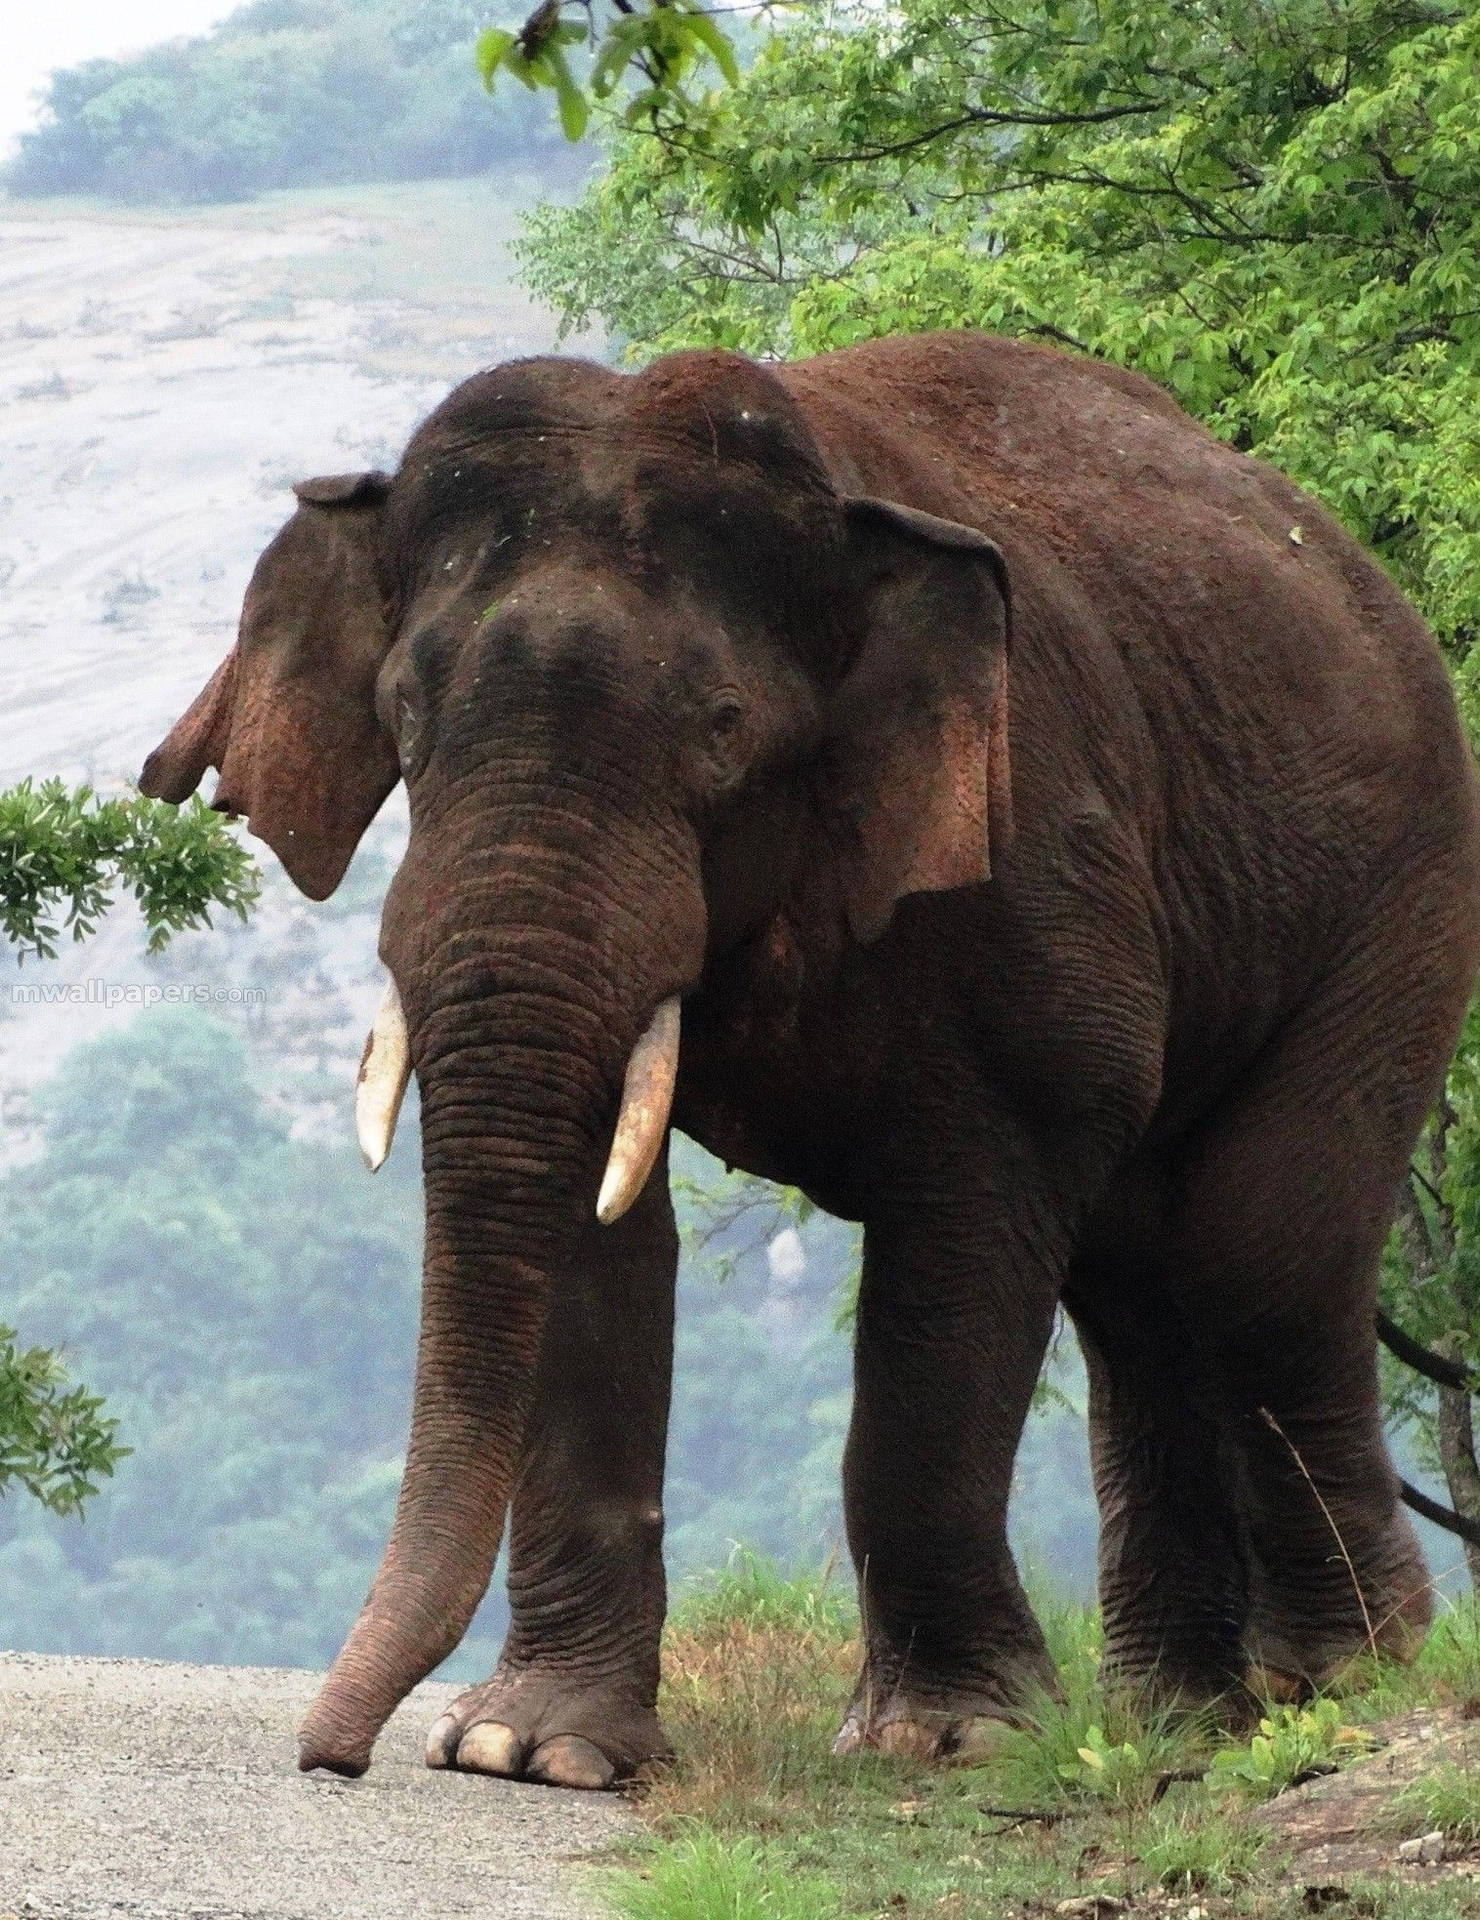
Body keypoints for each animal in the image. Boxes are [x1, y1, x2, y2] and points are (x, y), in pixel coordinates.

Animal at [139, 330, 1480, 1781]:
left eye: (723, 727)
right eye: (402, 718)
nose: (332, 1757)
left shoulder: (1032, 861)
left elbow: (964, 1235)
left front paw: (944, 1742)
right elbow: (598, 1235)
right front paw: (531, 1752)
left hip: (1404, 893)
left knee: (1255, 1250)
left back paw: (1339, 1676)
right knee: (1139, 1282)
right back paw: (1177, 1718)